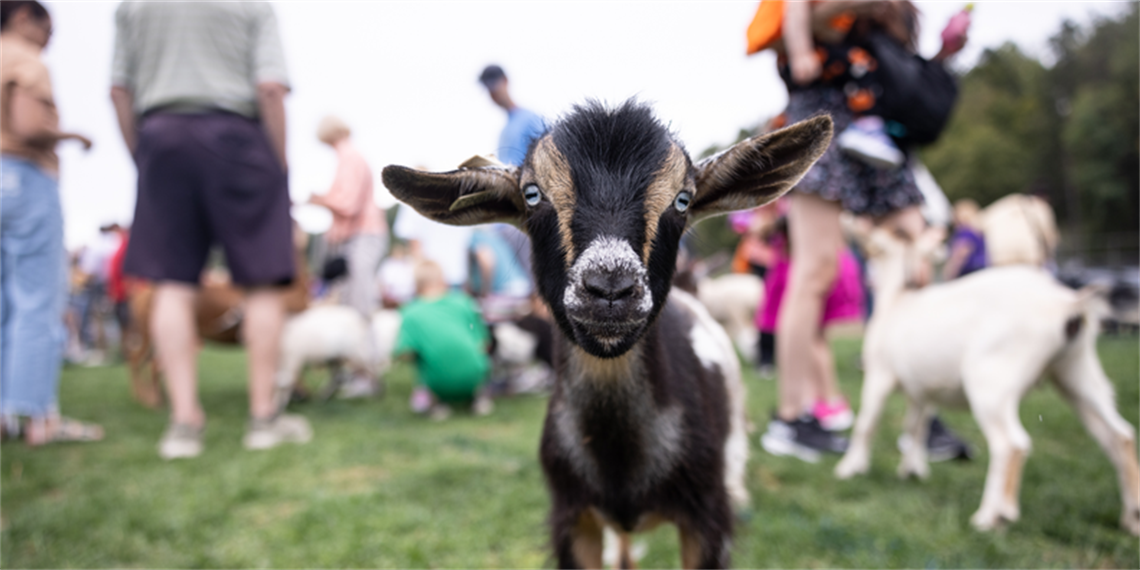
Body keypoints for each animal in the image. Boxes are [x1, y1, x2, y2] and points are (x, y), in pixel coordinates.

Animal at [835, 229, 1140, 536]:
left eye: (877, 241)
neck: (898, 301)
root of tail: (1067, 302)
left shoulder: (879, 375)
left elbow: (866, 424)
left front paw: (850, 468)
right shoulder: (923, 390)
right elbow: (916, 427)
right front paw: (912, 470)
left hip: (991, 381)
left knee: (1011, 444)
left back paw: (993, 516)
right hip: (1077, 372)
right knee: (1119, 434)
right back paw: (1132, 518)